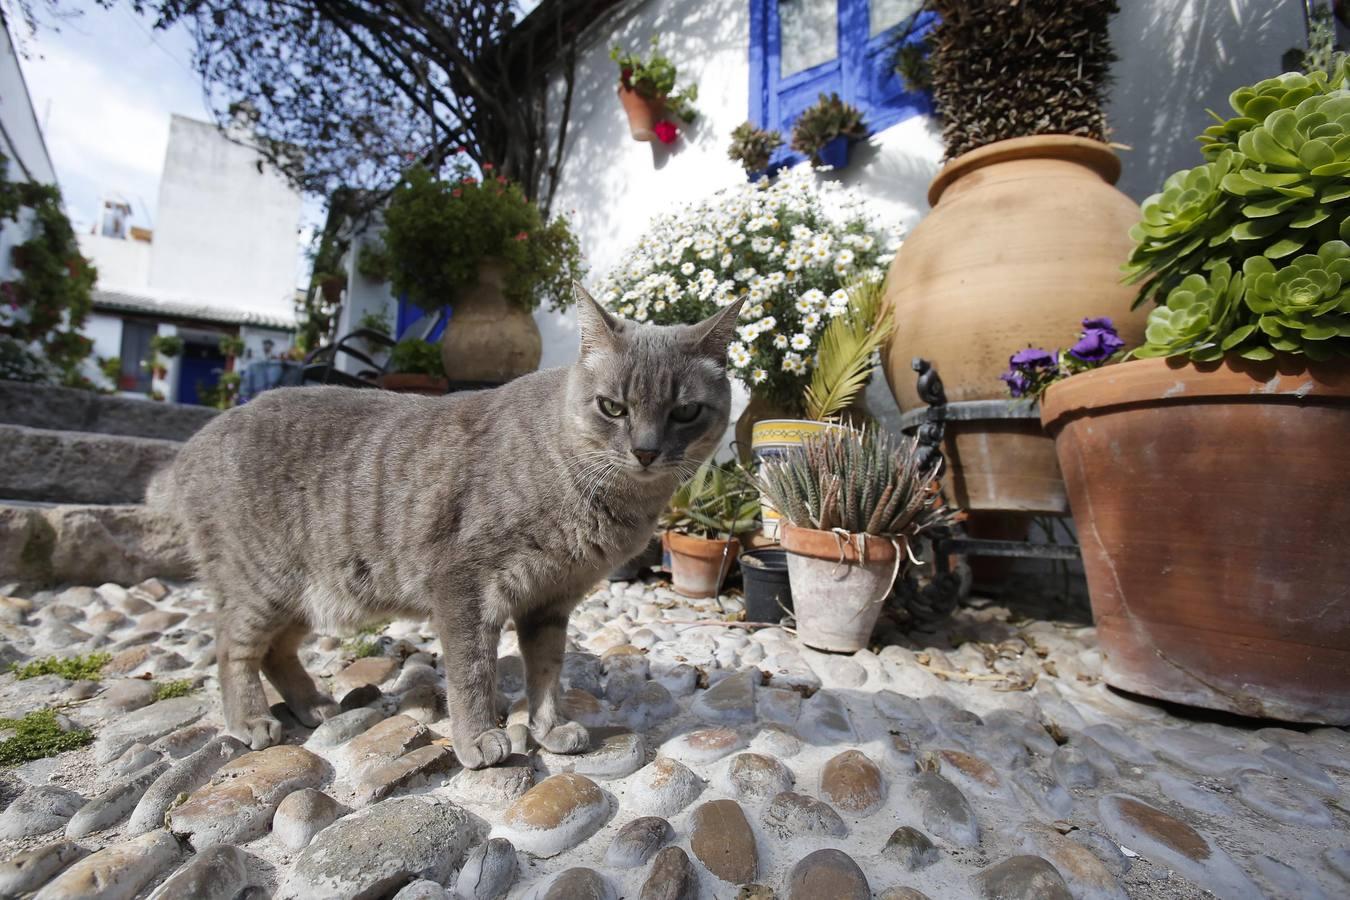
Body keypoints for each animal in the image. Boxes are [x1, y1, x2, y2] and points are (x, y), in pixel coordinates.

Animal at [153, 287, 745, 766]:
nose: (645, 451)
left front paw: (547, 730)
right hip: (262, 585)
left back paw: (313, 704)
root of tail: (194, 444)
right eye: (613, 407)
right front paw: (480, 737)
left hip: (313, 597)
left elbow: (547, 672)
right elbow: (473, 672)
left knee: (276, 652)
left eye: (685, 411)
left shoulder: (550, 602)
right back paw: (251, 719)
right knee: (232, 647)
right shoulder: (464, 587)